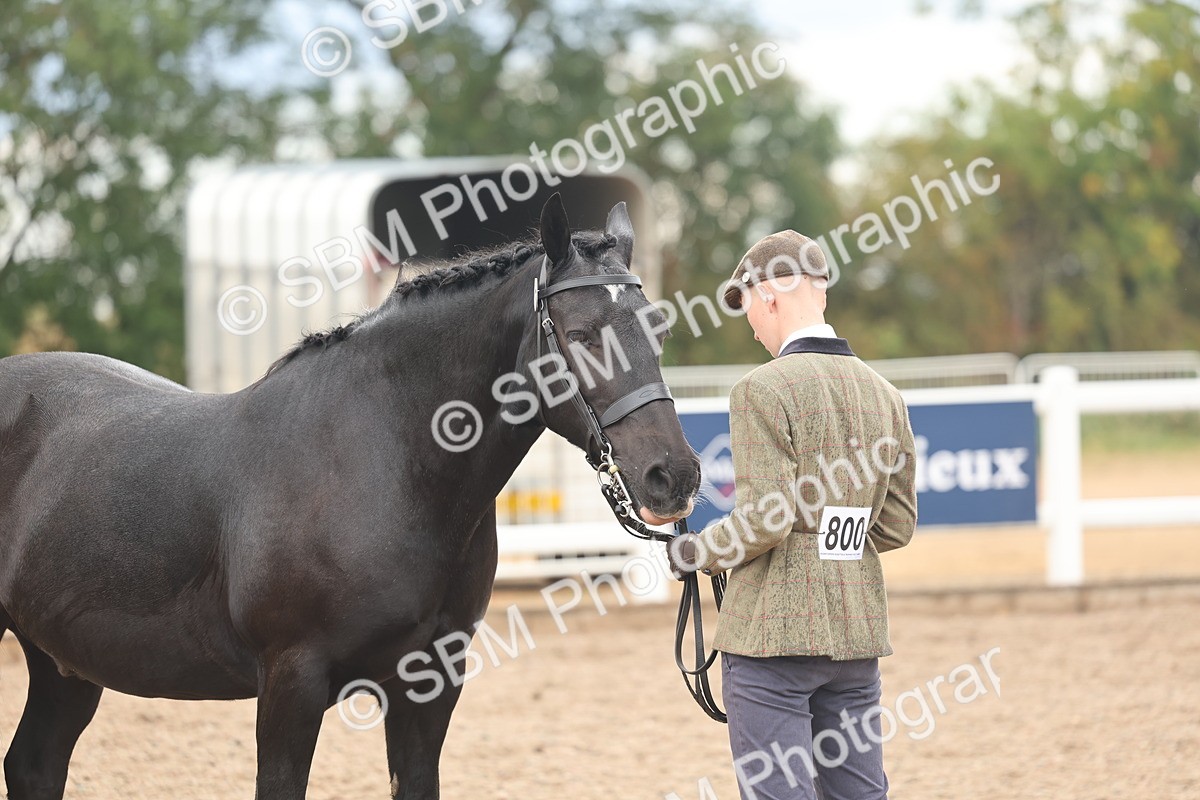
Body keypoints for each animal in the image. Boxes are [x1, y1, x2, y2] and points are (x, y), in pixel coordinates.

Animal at [0, 194, 701, 799]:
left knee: (33, 765)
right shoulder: (291, 684)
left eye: (658, 332)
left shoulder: (429, 684)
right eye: (580, 335)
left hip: (64, 664)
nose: (674, 476)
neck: (385, 465)